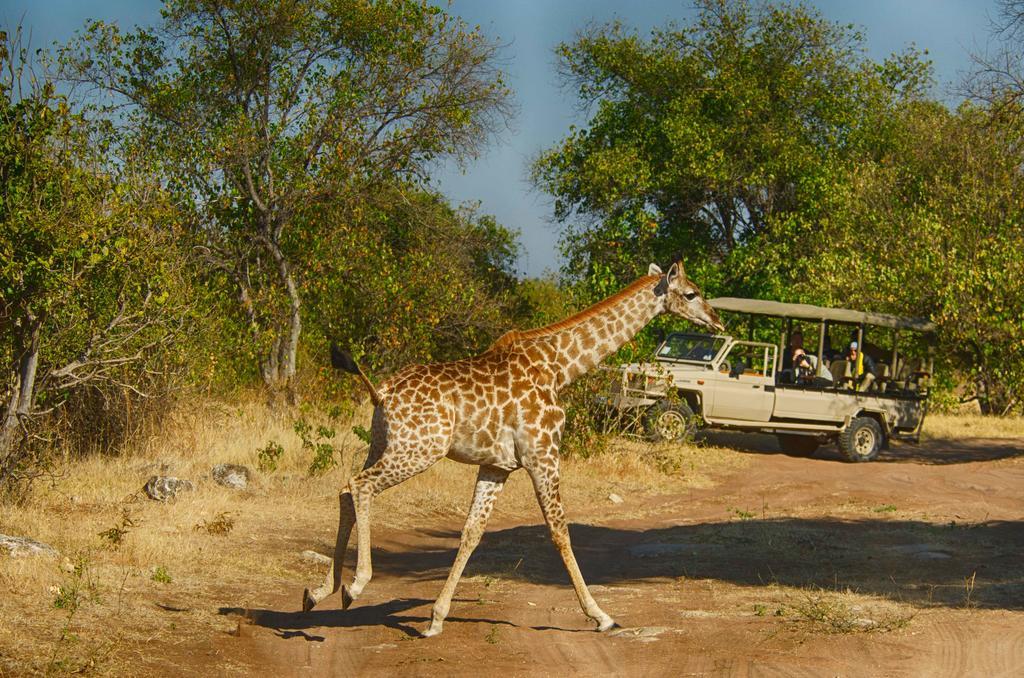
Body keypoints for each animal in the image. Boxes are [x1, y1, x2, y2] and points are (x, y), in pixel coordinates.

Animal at [299, 259, 724, 639]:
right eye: (691, 293)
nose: (717, 320)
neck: (560, 367)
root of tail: (381, 392)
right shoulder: (543, 454)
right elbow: (559, 530)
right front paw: (601, 616)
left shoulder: (497, 466)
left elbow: (472, 531)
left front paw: (436, 618)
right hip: (417, 451)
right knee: (359, 486)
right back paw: (354, 586)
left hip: (381, 444)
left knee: (345, 491)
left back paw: (317, 593)